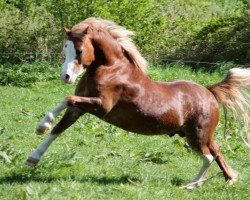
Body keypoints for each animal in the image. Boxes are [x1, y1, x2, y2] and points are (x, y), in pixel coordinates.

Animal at [25, 16, 250, 189]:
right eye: (65, 50)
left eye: (79, 50)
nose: (66, 77)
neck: (111, 69)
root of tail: (209, 92)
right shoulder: (79, 109)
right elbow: (58, 129)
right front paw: (34, 154)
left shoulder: (101, 106)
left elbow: (67, 99)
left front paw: (41, 126)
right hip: (198, 135)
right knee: (217, 150)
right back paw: (229, 179)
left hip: (197, 136)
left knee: (208, 156)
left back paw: (191, 185)